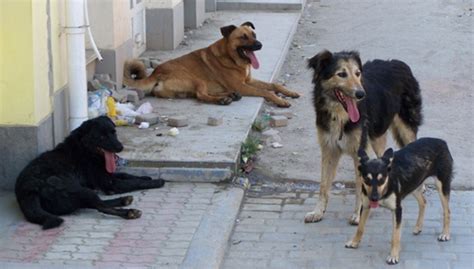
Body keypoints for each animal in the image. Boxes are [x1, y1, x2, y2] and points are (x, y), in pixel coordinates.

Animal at [14, 115, 166, 228]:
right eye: (102, 137)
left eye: (114, 132)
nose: (120, 147)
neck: (85, 149)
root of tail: (29, 190)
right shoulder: (110, 182)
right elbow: (133, 183)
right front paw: (156, 182)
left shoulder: (106, 176)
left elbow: (126, 175)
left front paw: (146, 177)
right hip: (79, 189)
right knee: (100, 206)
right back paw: (129, 212)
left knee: (95, 203)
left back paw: (124, 200)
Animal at [123, 21, 300, 107]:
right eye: (243, 37)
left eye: (254, 35)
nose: (260, 45)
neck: (231, 57)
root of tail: (155, 73)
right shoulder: (243, 85)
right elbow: (267, 92)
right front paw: (280, 100)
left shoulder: (247, 81)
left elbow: (275, 85)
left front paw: (289, 92)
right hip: (196, 79)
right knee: (201, 95)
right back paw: (223, 99)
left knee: (199, 94)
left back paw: (229, 95)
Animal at [306, 50, 424, 224]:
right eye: (342, 74)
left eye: (357, 73)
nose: (361, 94)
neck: (340, 115)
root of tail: (399, 63)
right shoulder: (329, 149)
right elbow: (323, 185)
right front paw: (318, 212)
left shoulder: (359, 151)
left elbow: (359, 187)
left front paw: (358, 215)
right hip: (376, 136)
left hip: (406, 127)